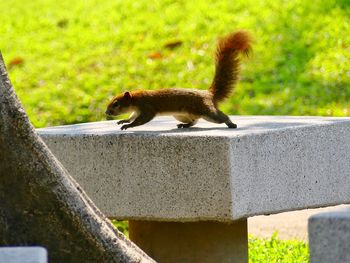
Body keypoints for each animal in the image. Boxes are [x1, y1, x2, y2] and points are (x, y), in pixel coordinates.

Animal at [104, 30, 252, 130]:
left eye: (116, 104)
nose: (106, 112)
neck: (135, 99)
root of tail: (208, 94)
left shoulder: (147, 107)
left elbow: (141, 120)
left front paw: (129, 125)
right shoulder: (137, 110)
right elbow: (132, 116)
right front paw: (124, 121)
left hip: (206, 110)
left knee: (220, 117)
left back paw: (230, 123)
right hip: (182, 114)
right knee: (194, 121)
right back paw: (185, 125)